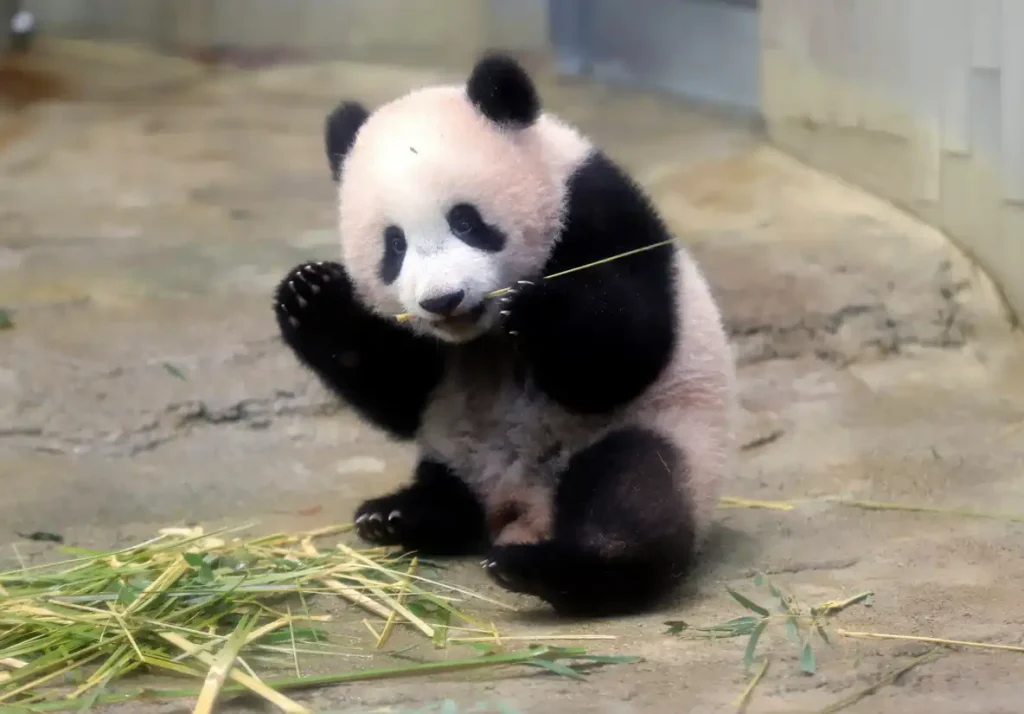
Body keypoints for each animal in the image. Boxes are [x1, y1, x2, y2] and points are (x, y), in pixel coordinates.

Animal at [273, 53, 736, 616]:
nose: (442, 300)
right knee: (451, 497)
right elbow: (400, 390)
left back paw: (547, 568)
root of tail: (518, 509)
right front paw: (310, 294)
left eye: (466, 221)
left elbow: (625, 354)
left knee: (631, 493)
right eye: (394, 245)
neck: (483, 335)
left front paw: (534, 308)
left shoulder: (597, 211)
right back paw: (399, 515)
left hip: (664, 432)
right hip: (454, 449)